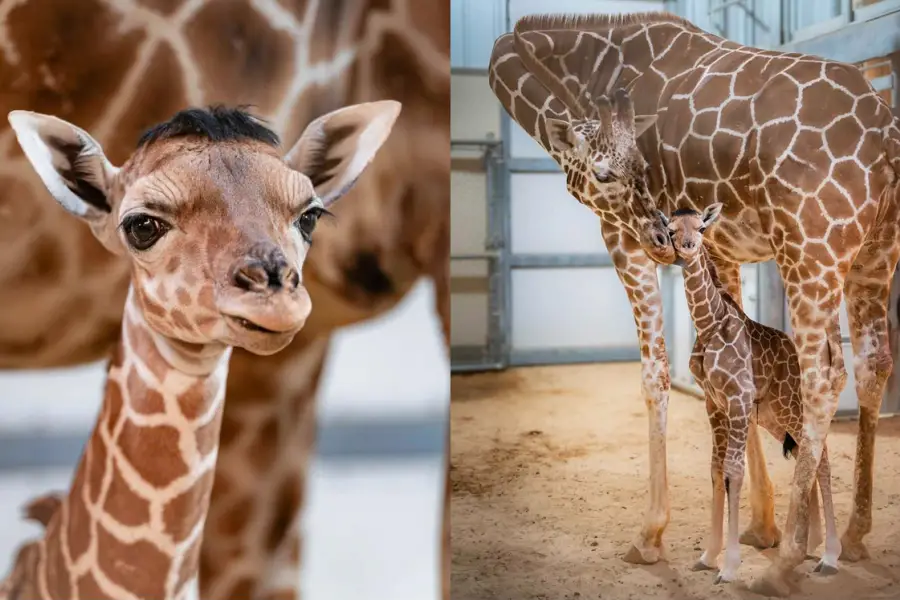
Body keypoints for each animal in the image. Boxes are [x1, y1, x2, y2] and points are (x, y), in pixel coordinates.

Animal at [665, 204, 841, 584]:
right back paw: (807, 545)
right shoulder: (715, 403)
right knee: (806, 453)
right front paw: (707, 557)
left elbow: (734, 470)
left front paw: (729, 567)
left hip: (791, 406)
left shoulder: (738, 398)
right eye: (670, 229)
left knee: (820, 456)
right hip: (772, 416)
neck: (709, 325)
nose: (687, 246)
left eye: (701, 228)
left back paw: (830, 556)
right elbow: (716, 469)